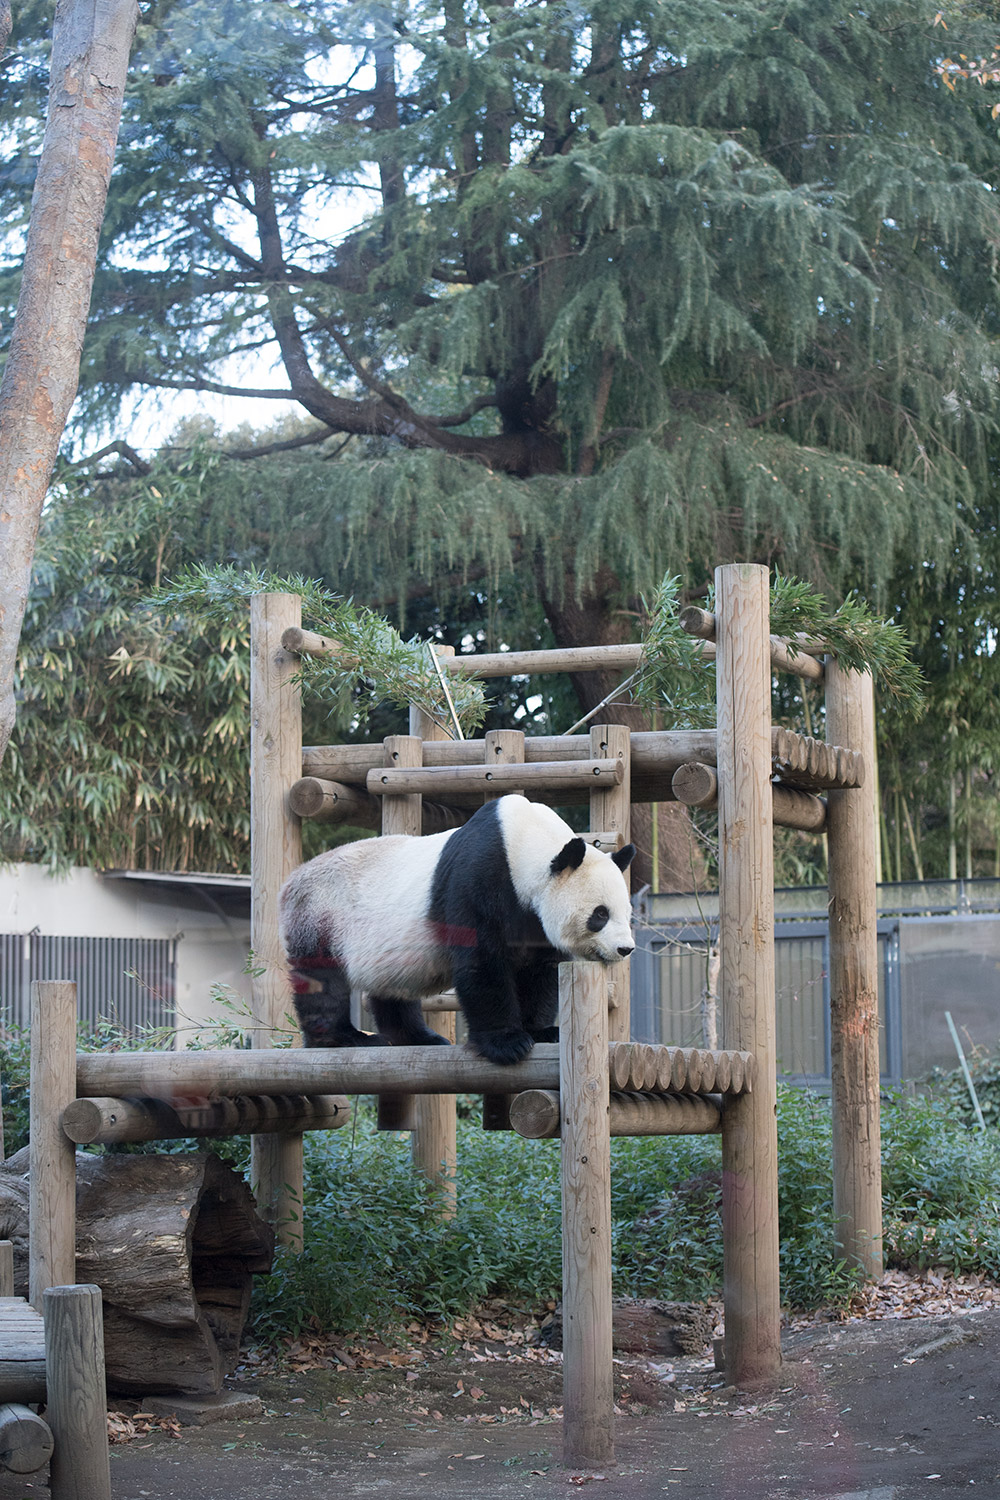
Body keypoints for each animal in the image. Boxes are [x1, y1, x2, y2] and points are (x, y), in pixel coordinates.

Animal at [281, 798, 638, 1068]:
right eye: (600, 914)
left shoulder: (533, 919)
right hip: (321, 913)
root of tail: (292, 880)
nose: (625, 949)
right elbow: (482, 962)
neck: (526, 843)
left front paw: (541, 1031)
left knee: (391, 988)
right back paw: (342, 1038)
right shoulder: (479, 876)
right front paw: (507, 1043)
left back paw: (420, 1038)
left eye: (626, 913)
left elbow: (540, 972)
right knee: (322, 981)